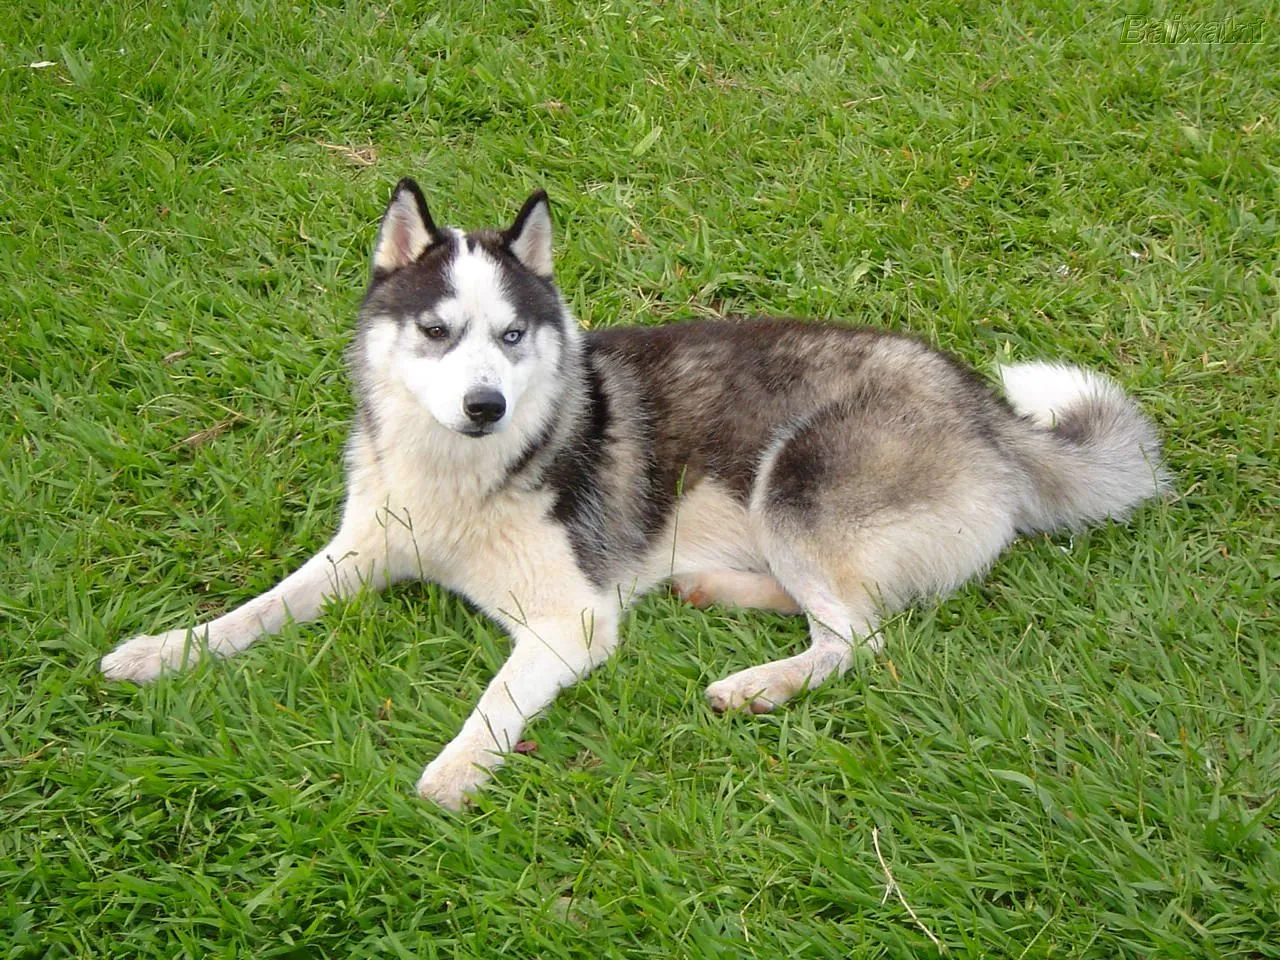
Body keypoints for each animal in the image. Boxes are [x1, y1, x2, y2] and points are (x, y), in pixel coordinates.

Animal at [102, 181, 1172, 814]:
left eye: (512, 337)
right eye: (438, 331)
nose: (486, 405)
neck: (462, 479)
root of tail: (989, 410)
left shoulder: (571, 620)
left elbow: (494, 699)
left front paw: (455, 772)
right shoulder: (358, 552)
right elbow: (255, 610)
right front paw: (164, 651)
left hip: (794, 480)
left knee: (858, 638)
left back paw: (757, 683)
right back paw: (714, 591)